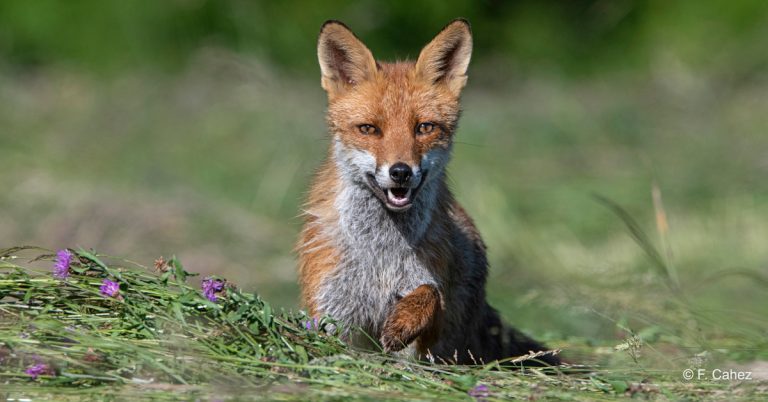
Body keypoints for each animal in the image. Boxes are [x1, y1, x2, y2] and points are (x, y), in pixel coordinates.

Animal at [298, 18, 560, 364]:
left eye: (424, 127)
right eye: (369, 129)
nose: (400, 172)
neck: (381, 254)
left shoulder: (428, 336)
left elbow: (430, 293)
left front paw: (402, 322)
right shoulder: (332, 314)